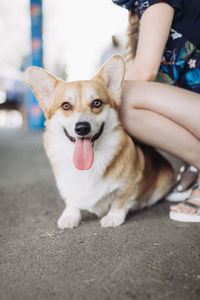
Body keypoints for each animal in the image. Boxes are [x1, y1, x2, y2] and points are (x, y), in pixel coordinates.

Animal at [25, 55, 174, 229]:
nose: (82, 128)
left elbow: (120, 201)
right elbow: (72, 200)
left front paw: (113, 218)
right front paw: (70, 216)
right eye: (66, 106)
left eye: (97, 103)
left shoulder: (129, 184)